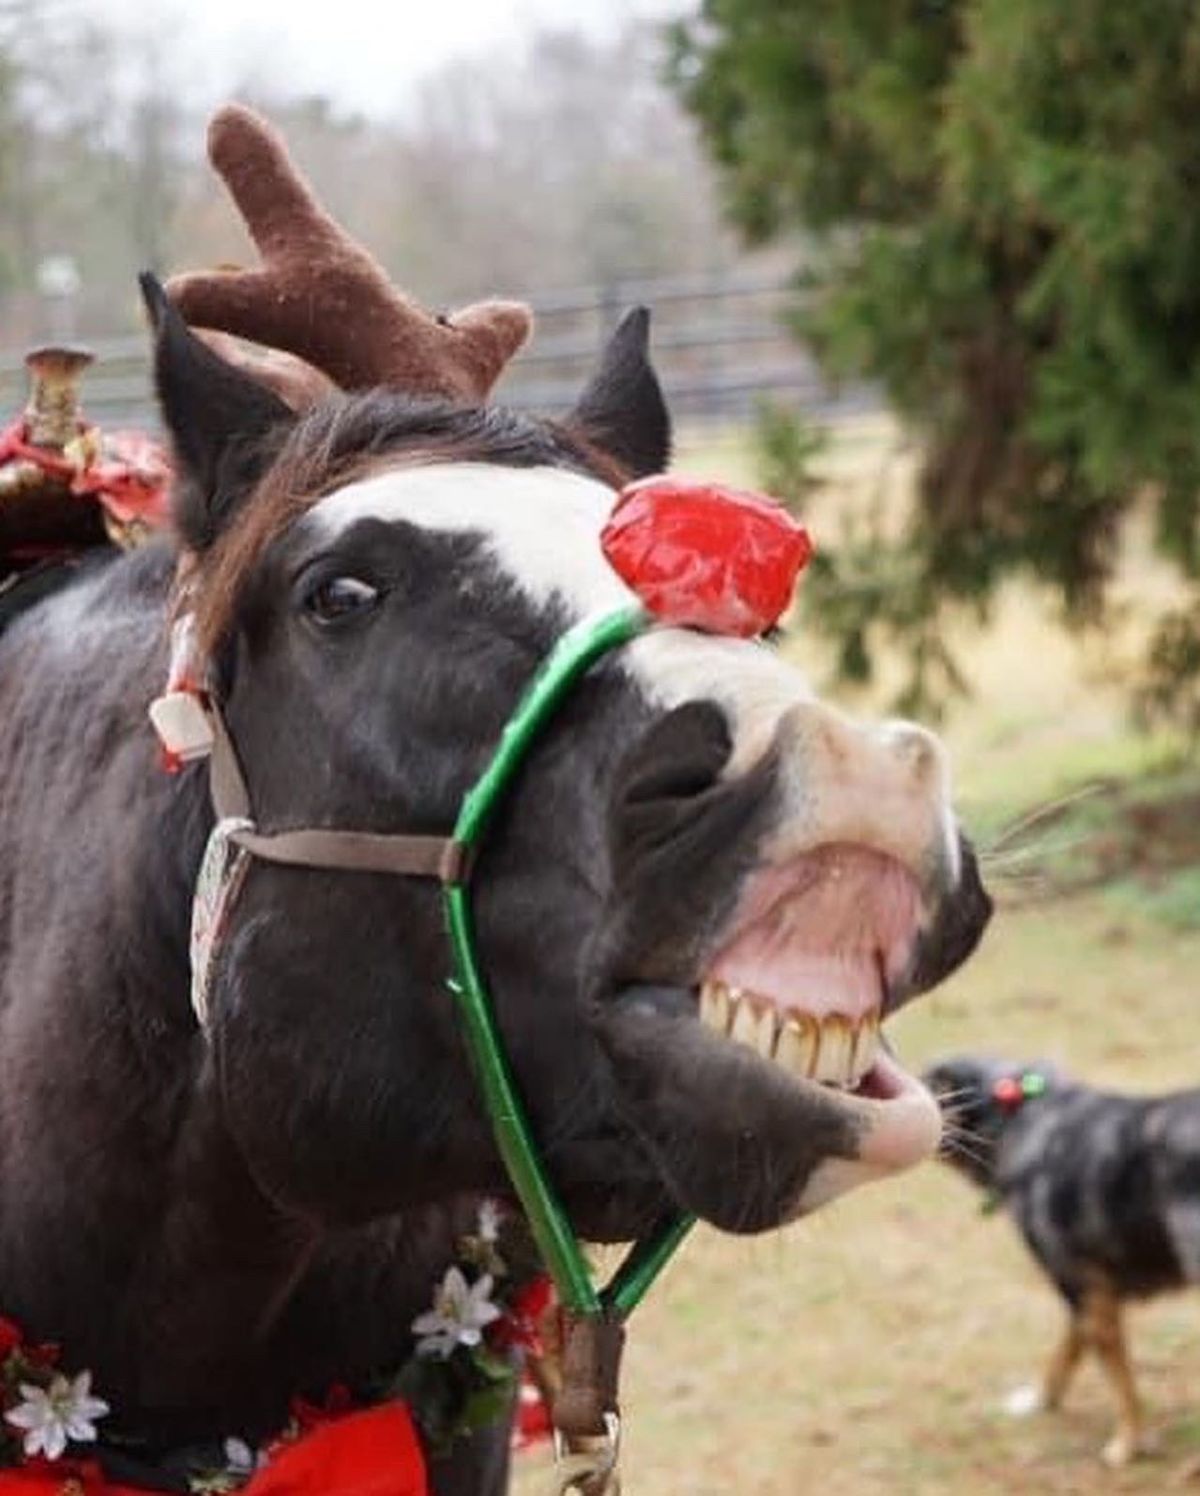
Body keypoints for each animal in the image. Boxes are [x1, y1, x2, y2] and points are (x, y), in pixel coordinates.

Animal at [921, 1059, 1191, 1466]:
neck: (1015, 1115)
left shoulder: (1087, 1293)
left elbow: (1120, 1383)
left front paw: (1127, 1444)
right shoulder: (1086, 1296)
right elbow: (1067, 1352)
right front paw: (1040, 1401)